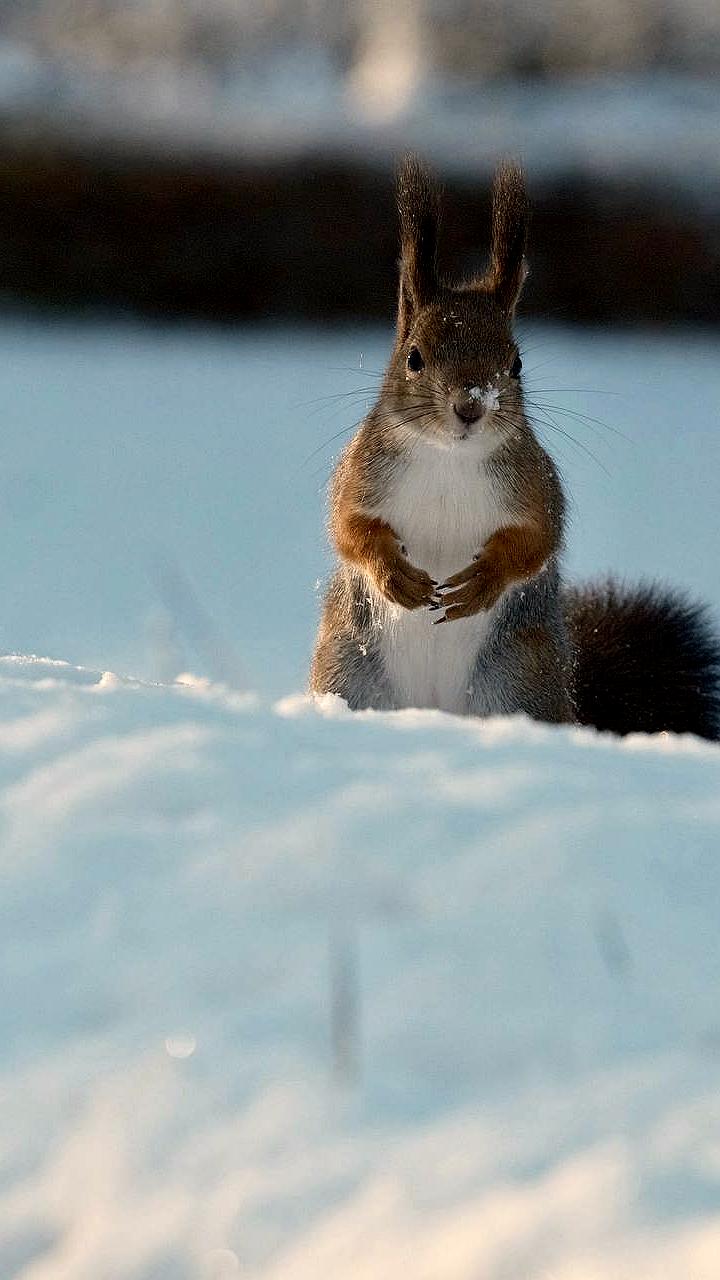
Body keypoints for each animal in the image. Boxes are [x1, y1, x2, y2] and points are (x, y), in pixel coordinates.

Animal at [310, 157, 717, 742]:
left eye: (516, 362)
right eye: (414, 358)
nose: (471, 405)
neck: (448, 457)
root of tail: (434, 712)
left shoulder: (535, 485)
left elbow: (537, 540)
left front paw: (484, 582)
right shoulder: (360, 474)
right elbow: (348, 528)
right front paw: (394, 575)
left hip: (517, 681)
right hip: (350, 673)